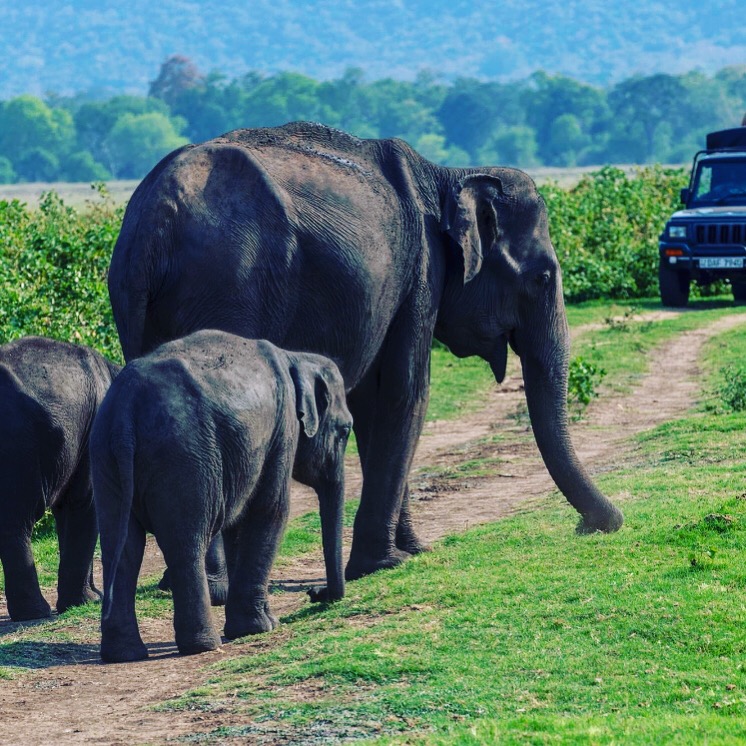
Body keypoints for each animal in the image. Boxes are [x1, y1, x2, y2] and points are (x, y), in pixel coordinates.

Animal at [0, 334, 118, 620]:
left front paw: (91, 598)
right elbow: (85, 504)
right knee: (15, 523)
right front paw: (87, 602)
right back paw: (35, 613)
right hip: (16, 445)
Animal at [90, 332, 352, 664]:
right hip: (184, 458)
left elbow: (239, 524)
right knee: (186, 542)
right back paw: (203, 646)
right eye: (345, 430)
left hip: (105, 455)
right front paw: (261, 628)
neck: (296, 357)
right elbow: (270, 510)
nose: (315, 593)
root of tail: (126, 406)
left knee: (122, 546)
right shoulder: (282, 431)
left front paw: (259, 623)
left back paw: (124, 654)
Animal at [109, 122, 620, 580]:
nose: (596, 525)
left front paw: (412, 550)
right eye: (542, 278)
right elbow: (405, 391)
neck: (448, 176)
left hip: (136, 303)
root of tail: (155, 222)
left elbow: (374, 401)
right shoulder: (421, 273)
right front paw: (386, 564)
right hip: (230, 288)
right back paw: (216, 588)